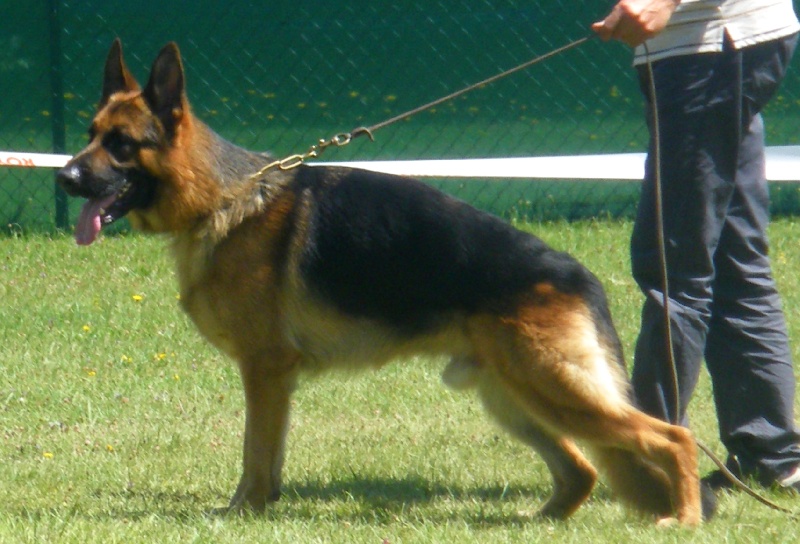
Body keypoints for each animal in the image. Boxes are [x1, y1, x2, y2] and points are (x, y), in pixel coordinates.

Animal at [54, 40, 708, 524]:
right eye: (88, 134)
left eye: (121, 145)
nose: (64, 178)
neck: (222, 197)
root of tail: (578, 275)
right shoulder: (274, 379)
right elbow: (268, 456)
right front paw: (256, 509)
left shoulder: (265, 370)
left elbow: (254, 454)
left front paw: (241, 512)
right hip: (513, 395)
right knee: (583, 470)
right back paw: (538, 521)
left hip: (551, 387)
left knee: (672, 438)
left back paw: (683, 519)